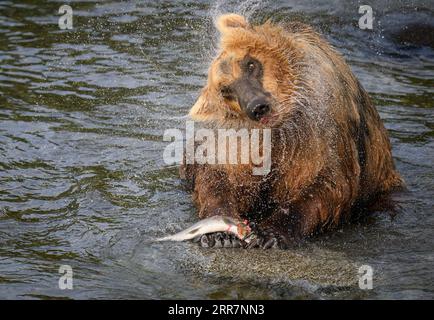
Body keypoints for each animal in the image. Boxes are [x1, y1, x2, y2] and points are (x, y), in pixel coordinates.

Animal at [178, 13, 402, 249]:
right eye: (226, 89)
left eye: (250, 63)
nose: (257, 106)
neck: (283, 127)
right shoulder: (240, 141)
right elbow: (218, 177)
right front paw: (218, 232)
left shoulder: (322, 128)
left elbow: (327, 182)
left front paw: (268, 233)